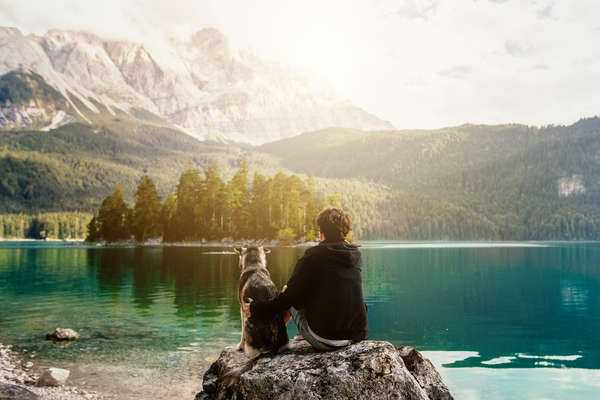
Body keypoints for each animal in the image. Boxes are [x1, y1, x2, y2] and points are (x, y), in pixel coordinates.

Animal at [224, 245, 292, 386]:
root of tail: (274, 344)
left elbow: (242, 335)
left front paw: (239, 347)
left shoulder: (243, 310)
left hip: (248, 321)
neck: (254, 264)